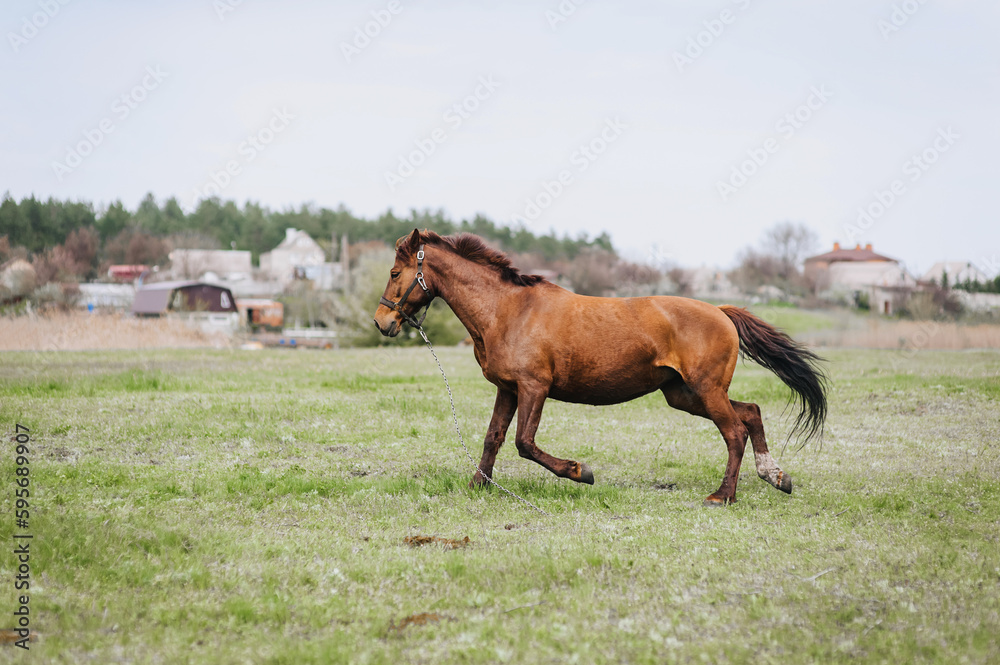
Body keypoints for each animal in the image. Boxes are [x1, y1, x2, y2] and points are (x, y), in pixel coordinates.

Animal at [373, 230, 827, 506]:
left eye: (395, 272)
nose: (382, 322)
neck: (508, 311)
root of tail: (720, 311)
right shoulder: (508, 389)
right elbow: (493, 439)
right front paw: (478, 485)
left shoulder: (534, 387)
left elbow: (524, 442)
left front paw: (580, 472)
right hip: (684, 394)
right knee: (750, 413)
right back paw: (775, 475)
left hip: (705, 390)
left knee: (734, 431)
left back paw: (723, 495)